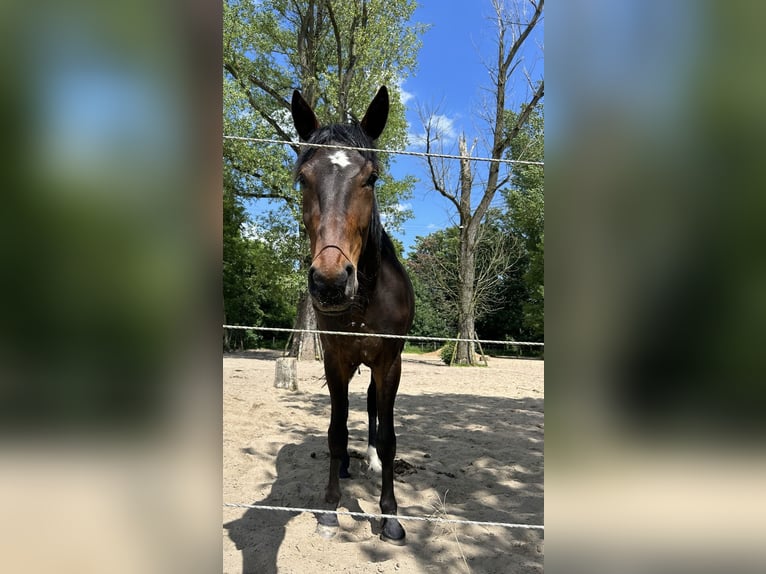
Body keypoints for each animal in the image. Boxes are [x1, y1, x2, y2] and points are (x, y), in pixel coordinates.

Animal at [292, 85, 414, 544]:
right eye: (304, 178)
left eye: (371, 178)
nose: (330, 282)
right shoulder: (335, 360)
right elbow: (336, 431)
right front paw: (330, 508)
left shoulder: (390, 362)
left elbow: (389, 436)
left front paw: (390, 515)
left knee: (375, 408)